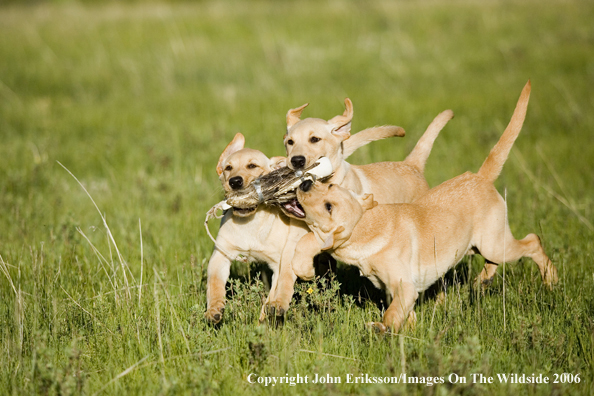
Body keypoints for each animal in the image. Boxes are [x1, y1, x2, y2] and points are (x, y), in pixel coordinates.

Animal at [206, 127, 404, 324]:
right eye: (228, 168)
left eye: (252, 166)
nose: (235, 181)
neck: (250, 223)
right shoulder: (220, 255)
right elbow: (214, 282)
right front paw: (214, 309)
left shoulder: (279, 261)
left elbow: (279, 285)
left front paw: (266, 316)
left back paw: (278, 305)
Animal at [292, 82, 556, 332]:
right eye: (329, 186)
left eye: (329, 206)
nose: (304, 183)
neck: (368, 227)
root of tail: (480, 177)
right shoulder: (395, 290)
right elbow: (405, 314)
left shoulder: (405, 287)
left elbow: (391, 315)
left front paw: (381, 329)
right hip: (479, 245)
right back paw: (483, 280)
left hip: (495, 244)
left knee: (532, 241)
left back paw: (550, 281)